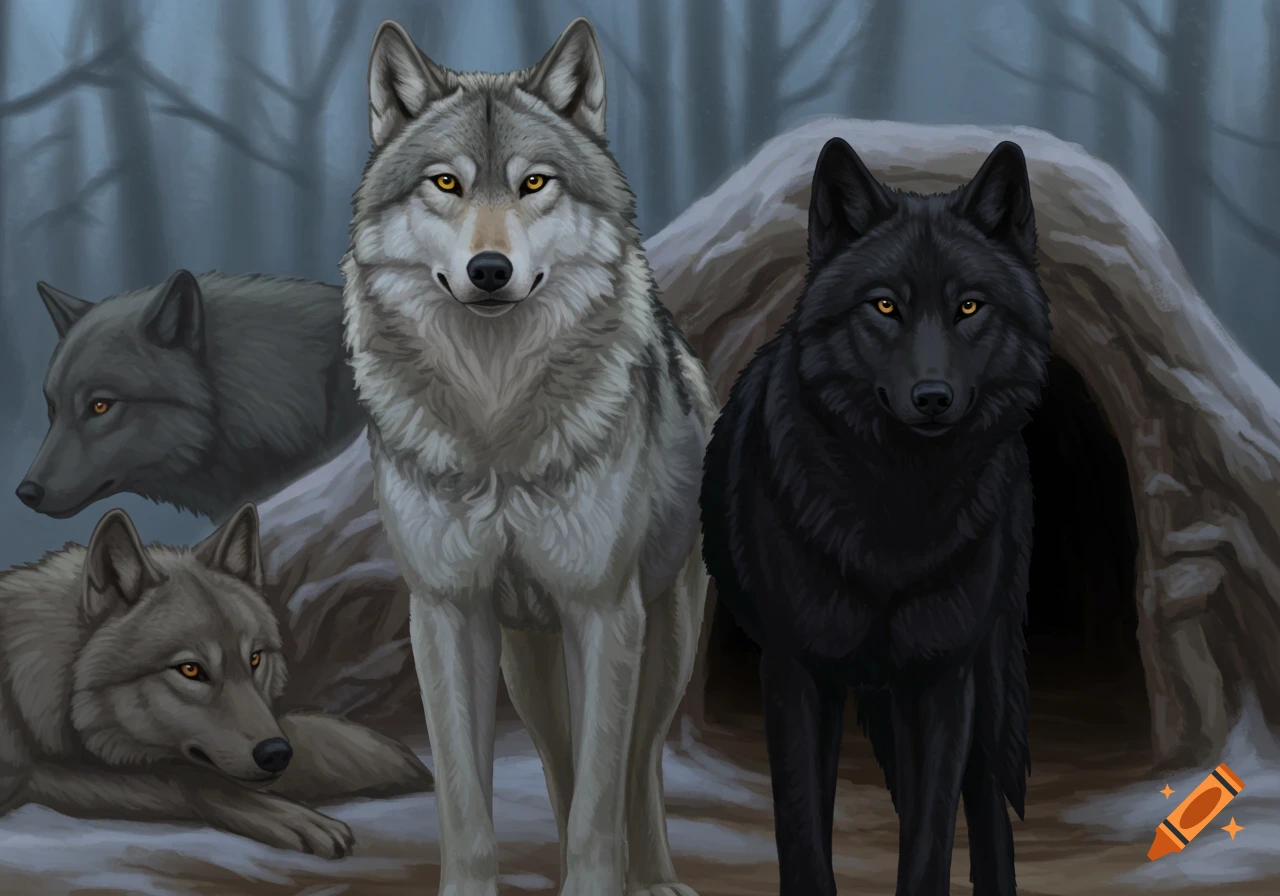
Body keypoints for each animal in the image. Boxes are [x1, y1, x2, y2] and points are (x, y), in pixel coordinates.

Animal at [0, 503, 435, 857]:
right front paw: (296, 817)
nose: (276, 753)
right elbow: (189, 778)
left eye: (255, 659)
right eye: (191, 670)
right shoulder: (27, 776)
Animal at [342, 16, 718, 896]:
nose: (490, 270)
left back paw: (655, 878)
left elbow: (601, 801)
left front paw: (605, 882)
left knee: (637, 766)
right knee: (562, 764)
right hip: (527, 662)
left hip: (666, 639)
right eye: (446, 183)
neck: (496, 415)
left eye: (535, 183)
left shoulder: (604, 611)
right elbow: (466, 802)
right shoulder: (447, 612)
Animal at [699, 138, 1051, 896]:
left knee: (985, 798)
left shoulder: (943, 679)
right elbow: (803, 834)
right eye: (885, 305)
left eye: (969, 306)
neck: (899, 519)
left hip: (974, 676)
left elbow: (929, 839)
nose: (932, 396)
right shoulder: (797, 674)